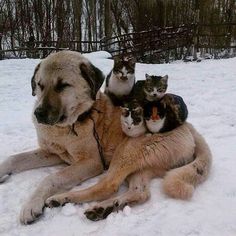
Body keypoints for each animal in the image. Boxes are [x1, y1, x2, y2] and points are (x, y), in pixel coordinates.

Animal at [0, 50, 211, 224]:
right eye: (40, 85)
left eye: (63, 86)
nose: (39, 114)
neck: (73, 122)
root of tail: (190, 127)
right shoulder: (52, 153)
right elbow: (13, 159)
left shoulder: (91, 162)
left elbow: (51, 178)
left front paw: (31, 205)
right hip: (143, 165)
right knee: (140, 193)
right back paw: (105, 208)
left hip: (126, 152)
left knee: (108, 185)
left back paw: (63, 199)